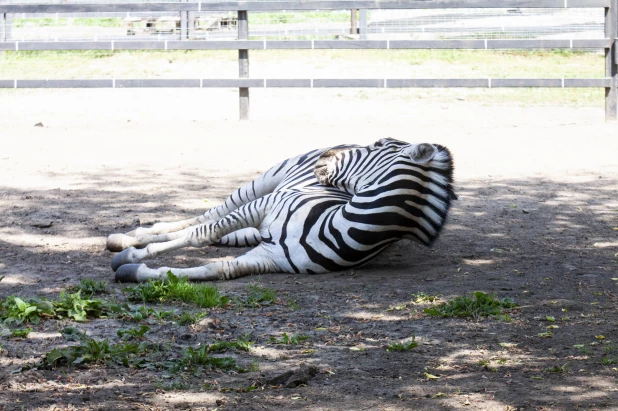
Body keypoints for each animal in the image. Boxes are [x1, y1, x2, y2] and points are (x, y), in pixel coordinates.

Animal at [107, 138, 452, 284]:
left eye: (377, 146)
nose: (328, 155)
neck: (334, 227)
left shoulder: (269, 259)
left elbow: (215, 269)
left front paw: (133, 270)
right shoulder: (262, 206)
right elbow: (201, 233)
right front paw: (132, 255)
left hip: (255, 228)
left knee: (224, 233)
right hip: (263, 183)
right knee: (206, 217)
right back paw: (130, 237)